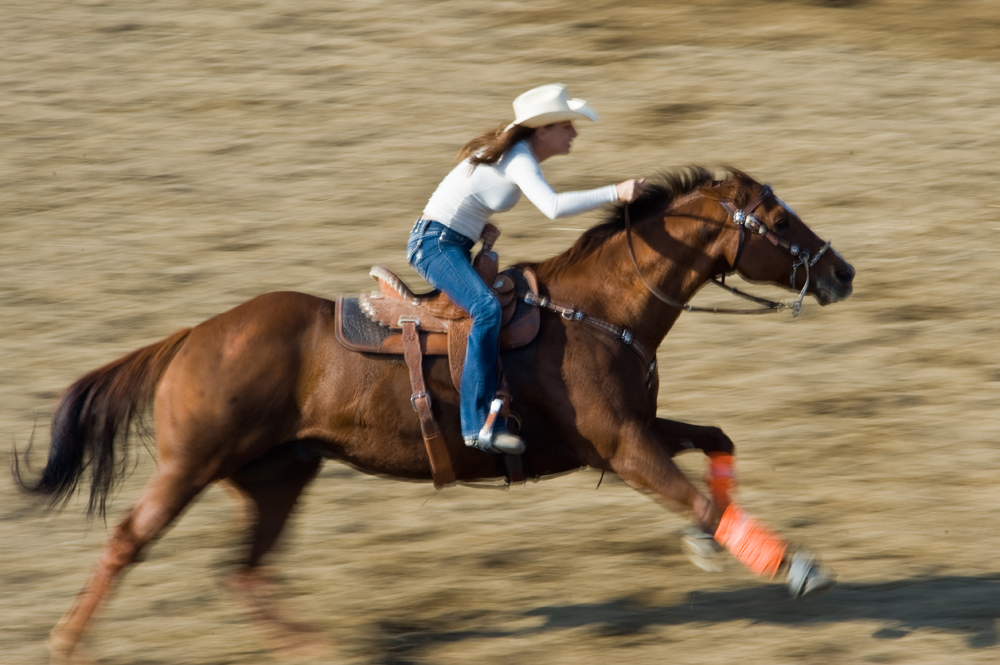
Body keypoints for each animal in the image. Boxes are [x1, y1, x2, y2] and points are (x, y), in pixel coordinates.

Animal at [15, 167, 856, 660]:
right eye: (780, 221)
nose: (843, 271)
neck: (598, 311)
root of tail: (190, 337)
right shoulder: (623, 447)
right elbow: (691, 493)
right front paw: (798, 566)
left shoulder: (628, 437)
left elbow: (715, 441)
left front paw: (710, 544)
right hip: (192, 465)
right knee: (128, 540)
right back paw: (64, 641)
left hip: (279, 474)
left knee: (244, 572)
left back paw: (323, 646)